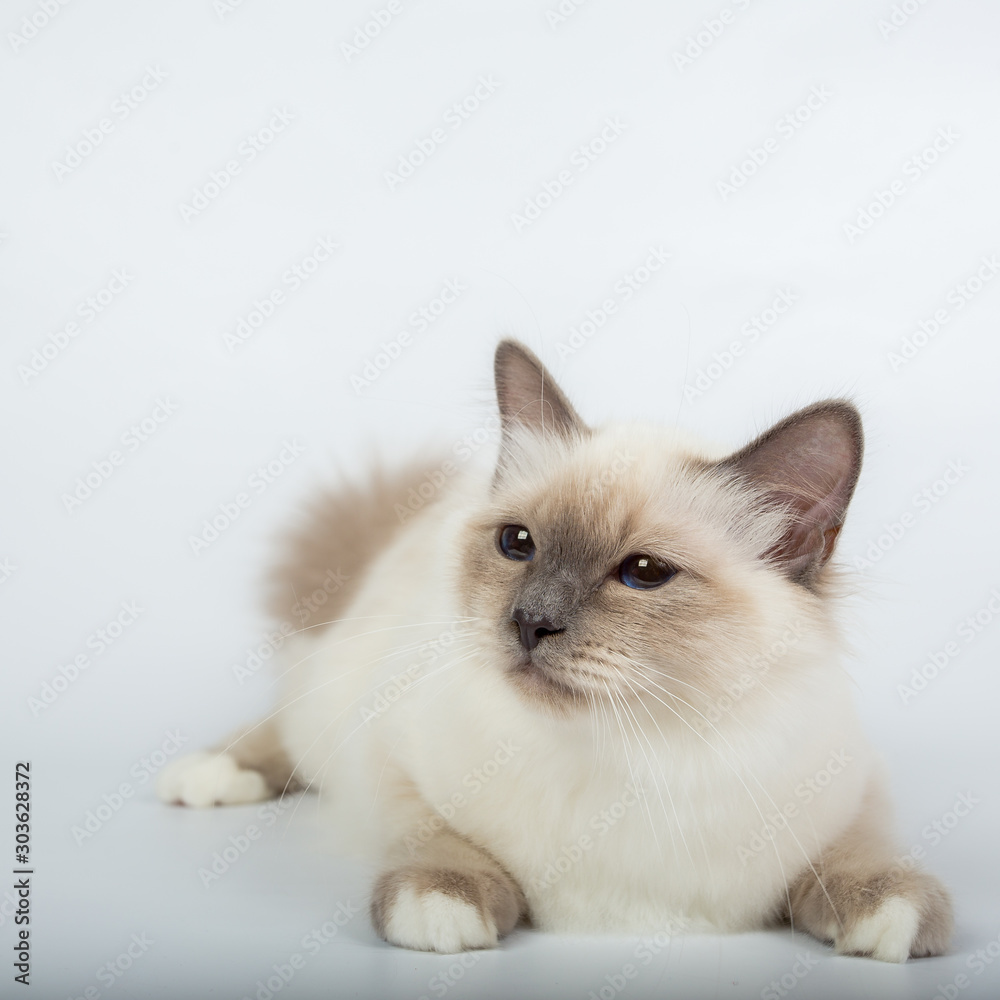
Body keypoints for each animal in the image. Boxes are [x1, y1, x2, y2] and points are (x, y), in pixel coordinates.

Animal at [158, 338, 952, 960]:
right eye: (519, 544)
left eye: (643, 574)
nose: (530, 621)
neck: (628, 751)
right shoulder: (393, 760)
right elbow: (438, 843)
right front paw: (443, 908)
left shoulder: (852, 793)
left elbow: (859, 859)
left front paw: (891, 912)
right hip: (339, 697)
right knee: (284, 729)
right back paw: (208, 775)